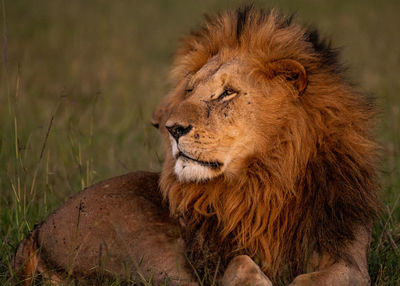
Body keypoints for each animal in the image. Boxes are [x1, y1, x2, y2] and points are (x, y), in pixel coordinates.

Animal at [14, 6, 380, 286]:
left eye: (227, 93)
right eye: (189, 90)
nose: (171, 128)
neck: (268, 178)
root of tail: (35, 233)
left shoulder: (347, 252)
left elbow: (315, 277)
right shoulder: (213, 260)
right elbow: (242, 264)